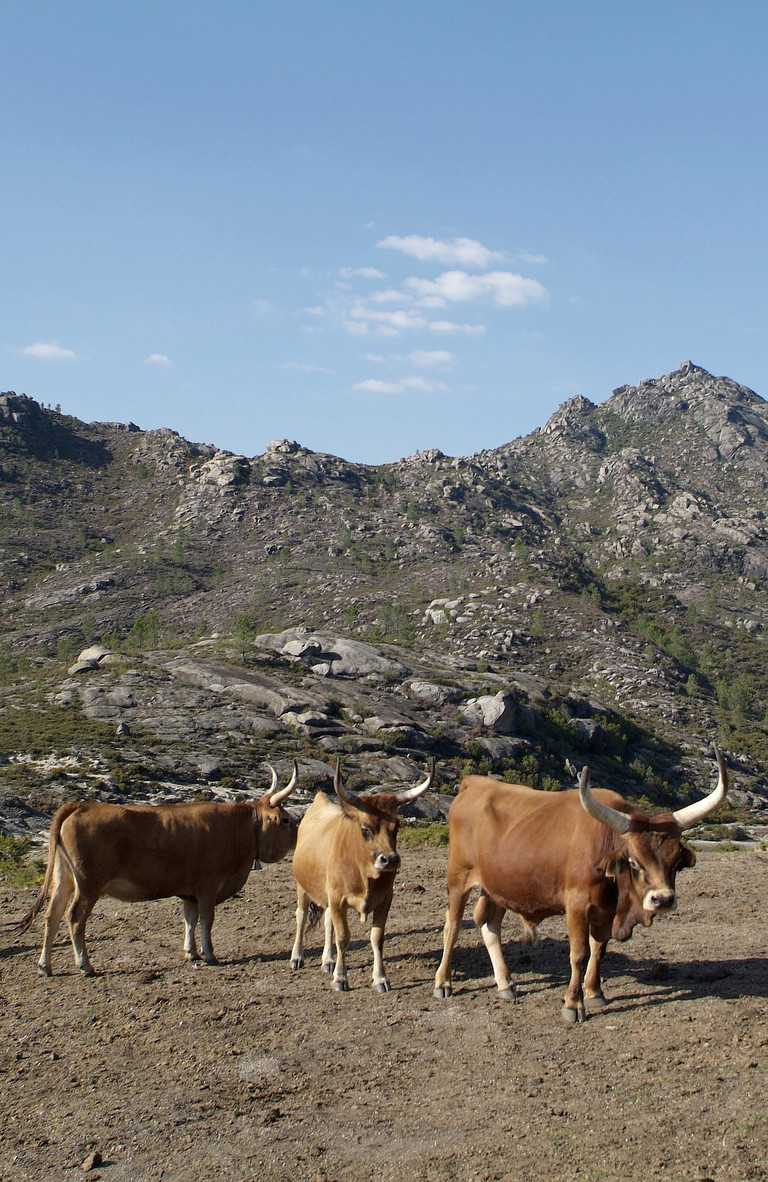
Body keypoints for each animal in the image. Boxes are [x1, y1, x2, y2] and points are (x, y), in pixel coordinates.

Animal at [14, 761, 298, 973]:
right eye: (285, 820)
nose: (300, 835)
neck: (235, 830)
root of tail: (81, 805)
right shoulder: (208, 886)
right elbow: (207, 920)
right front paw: (209, 954)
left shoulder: (189, 892)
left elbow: (190, 920)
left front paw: (191, 952)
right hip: (87, 884)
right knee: (74, 917)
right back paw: (85, 965)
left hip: (63, 879)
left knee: (51, 916)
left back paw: (44, 966)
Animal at [288, 761, 434, 992]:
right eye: (365, 829)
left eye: (396, 827)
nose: (390, 860)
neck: (365, 876)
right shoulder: (338, 899)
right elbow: (343, 937)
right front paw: (340, 978)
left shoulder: (385, 900)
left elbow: (377, 938)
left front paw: (380, 978)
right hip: (302, 886)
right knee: (301, 916)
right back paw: (297, 957)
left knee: (327, 920)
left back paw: (328, 960)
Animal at [430, 751, 723, 1021]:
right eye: (634, 861)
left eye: (676, 862)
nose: (662, 899)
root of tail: (473, 783)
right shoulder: (577, 906)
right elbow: (579, 953)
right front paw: (573, 1004)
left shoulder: (605, 910)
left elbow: (600, 949)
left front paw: (595, 992)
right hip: (458, 877)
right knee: (453, 926)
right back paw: (443, 982)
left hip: (498, 886)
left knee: (490, 925)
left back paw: (505, 984)